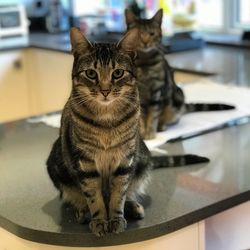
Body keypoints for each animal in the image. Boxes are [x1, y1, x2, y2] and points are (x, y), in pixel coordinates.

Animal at [46, 27, 209, 236]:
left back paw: (133, 207)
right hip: (56, 163)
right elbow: (94, 197)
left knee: (130, 191)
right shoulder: (86, 163)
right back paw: (83, 211)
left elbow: (119, 195)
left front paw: (116, 219)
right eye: (91, 73)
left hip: (143, 159)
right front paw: (100, 221)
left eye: (117, 73)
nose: (105, 90)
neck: (106, 120)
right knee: (73, 195)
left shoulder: (125, 160)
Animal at [125, 7, 234, 140]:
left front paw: (150, 133)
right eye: (140, 34)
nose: (145, 42)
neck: (145, 64)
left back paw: (162, 126)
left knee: (172, 119)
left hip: (178, 96)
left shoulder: (157, 91)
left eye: (152, 34)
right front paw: (141, 133)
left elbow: (153, 115)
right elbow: (140, 118)